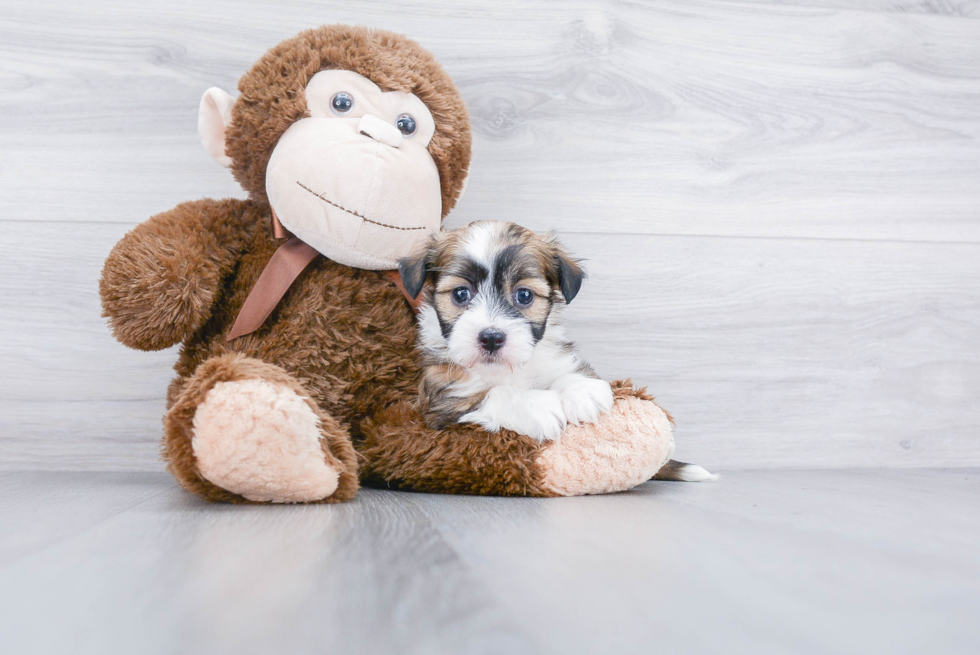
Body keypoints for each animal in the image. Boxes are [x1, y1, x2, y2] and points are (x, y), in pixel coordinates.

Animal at [396, 220, 612, 440]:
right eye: (460, 293)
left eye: (524, 295)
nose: (491, 338)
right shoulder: (442, 398)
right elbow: (489, 393)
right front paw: (535, 406)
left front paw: (581, 389)